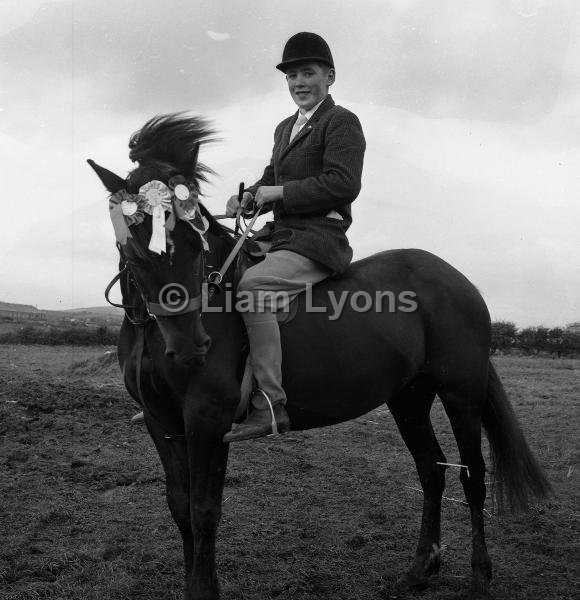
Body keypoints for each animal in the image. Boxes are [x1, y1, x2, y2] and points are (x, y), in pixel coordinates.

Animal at [88, 113, 552, 600]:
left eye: (197, 240)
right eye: (134, 245)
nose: (192, 348)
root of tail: (459, 279)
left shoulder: (207, 419)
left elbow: (204, 509)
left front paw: (203, 589)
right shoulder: (161, 421)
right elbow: (179, 506)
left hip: (461, 392)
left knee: (472, 474)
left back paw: (479, 576)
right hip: (409, 397)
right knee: (431, 470)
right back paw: (419, 569)